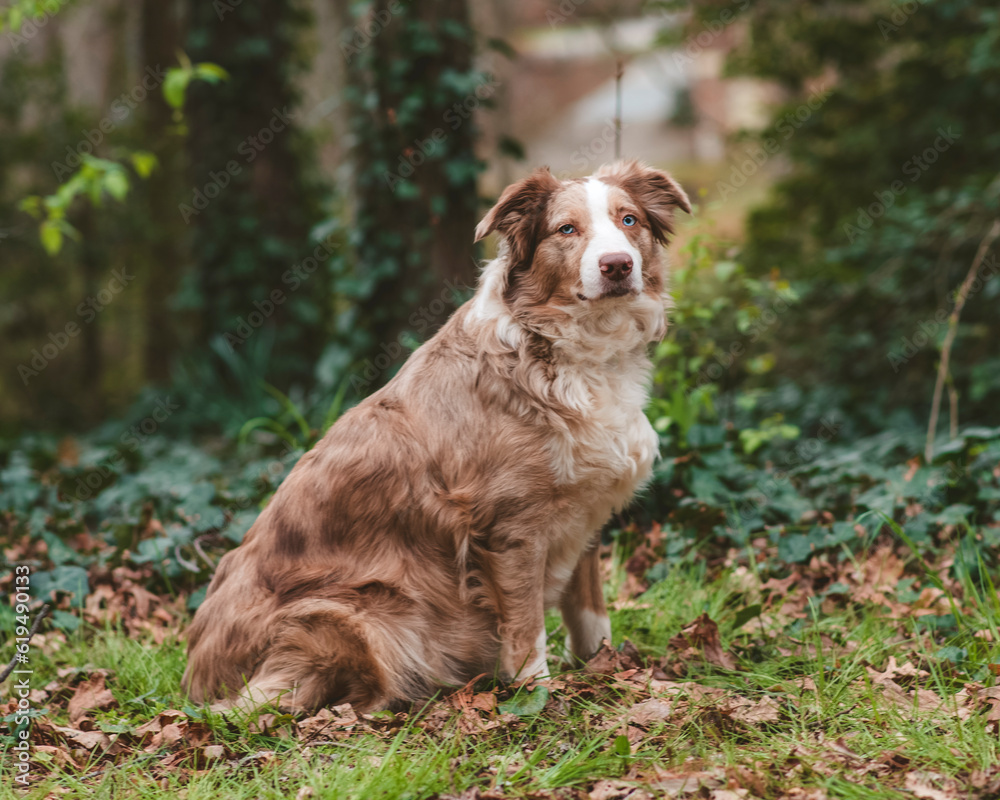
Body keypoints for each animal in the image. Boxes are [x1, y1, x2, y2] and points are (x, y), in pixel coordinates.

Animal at [184, 159, 692, 708]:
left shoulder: (587, 514)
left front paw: (607, 672)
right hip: (351, 617)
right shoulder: (512, 529)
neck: (563, 347)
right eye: (566, 230)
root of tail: (195, 681)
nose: (617, 265)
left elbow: (590, 615)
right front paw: (537, 697)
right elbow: (527, 627)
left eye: (628, 220)